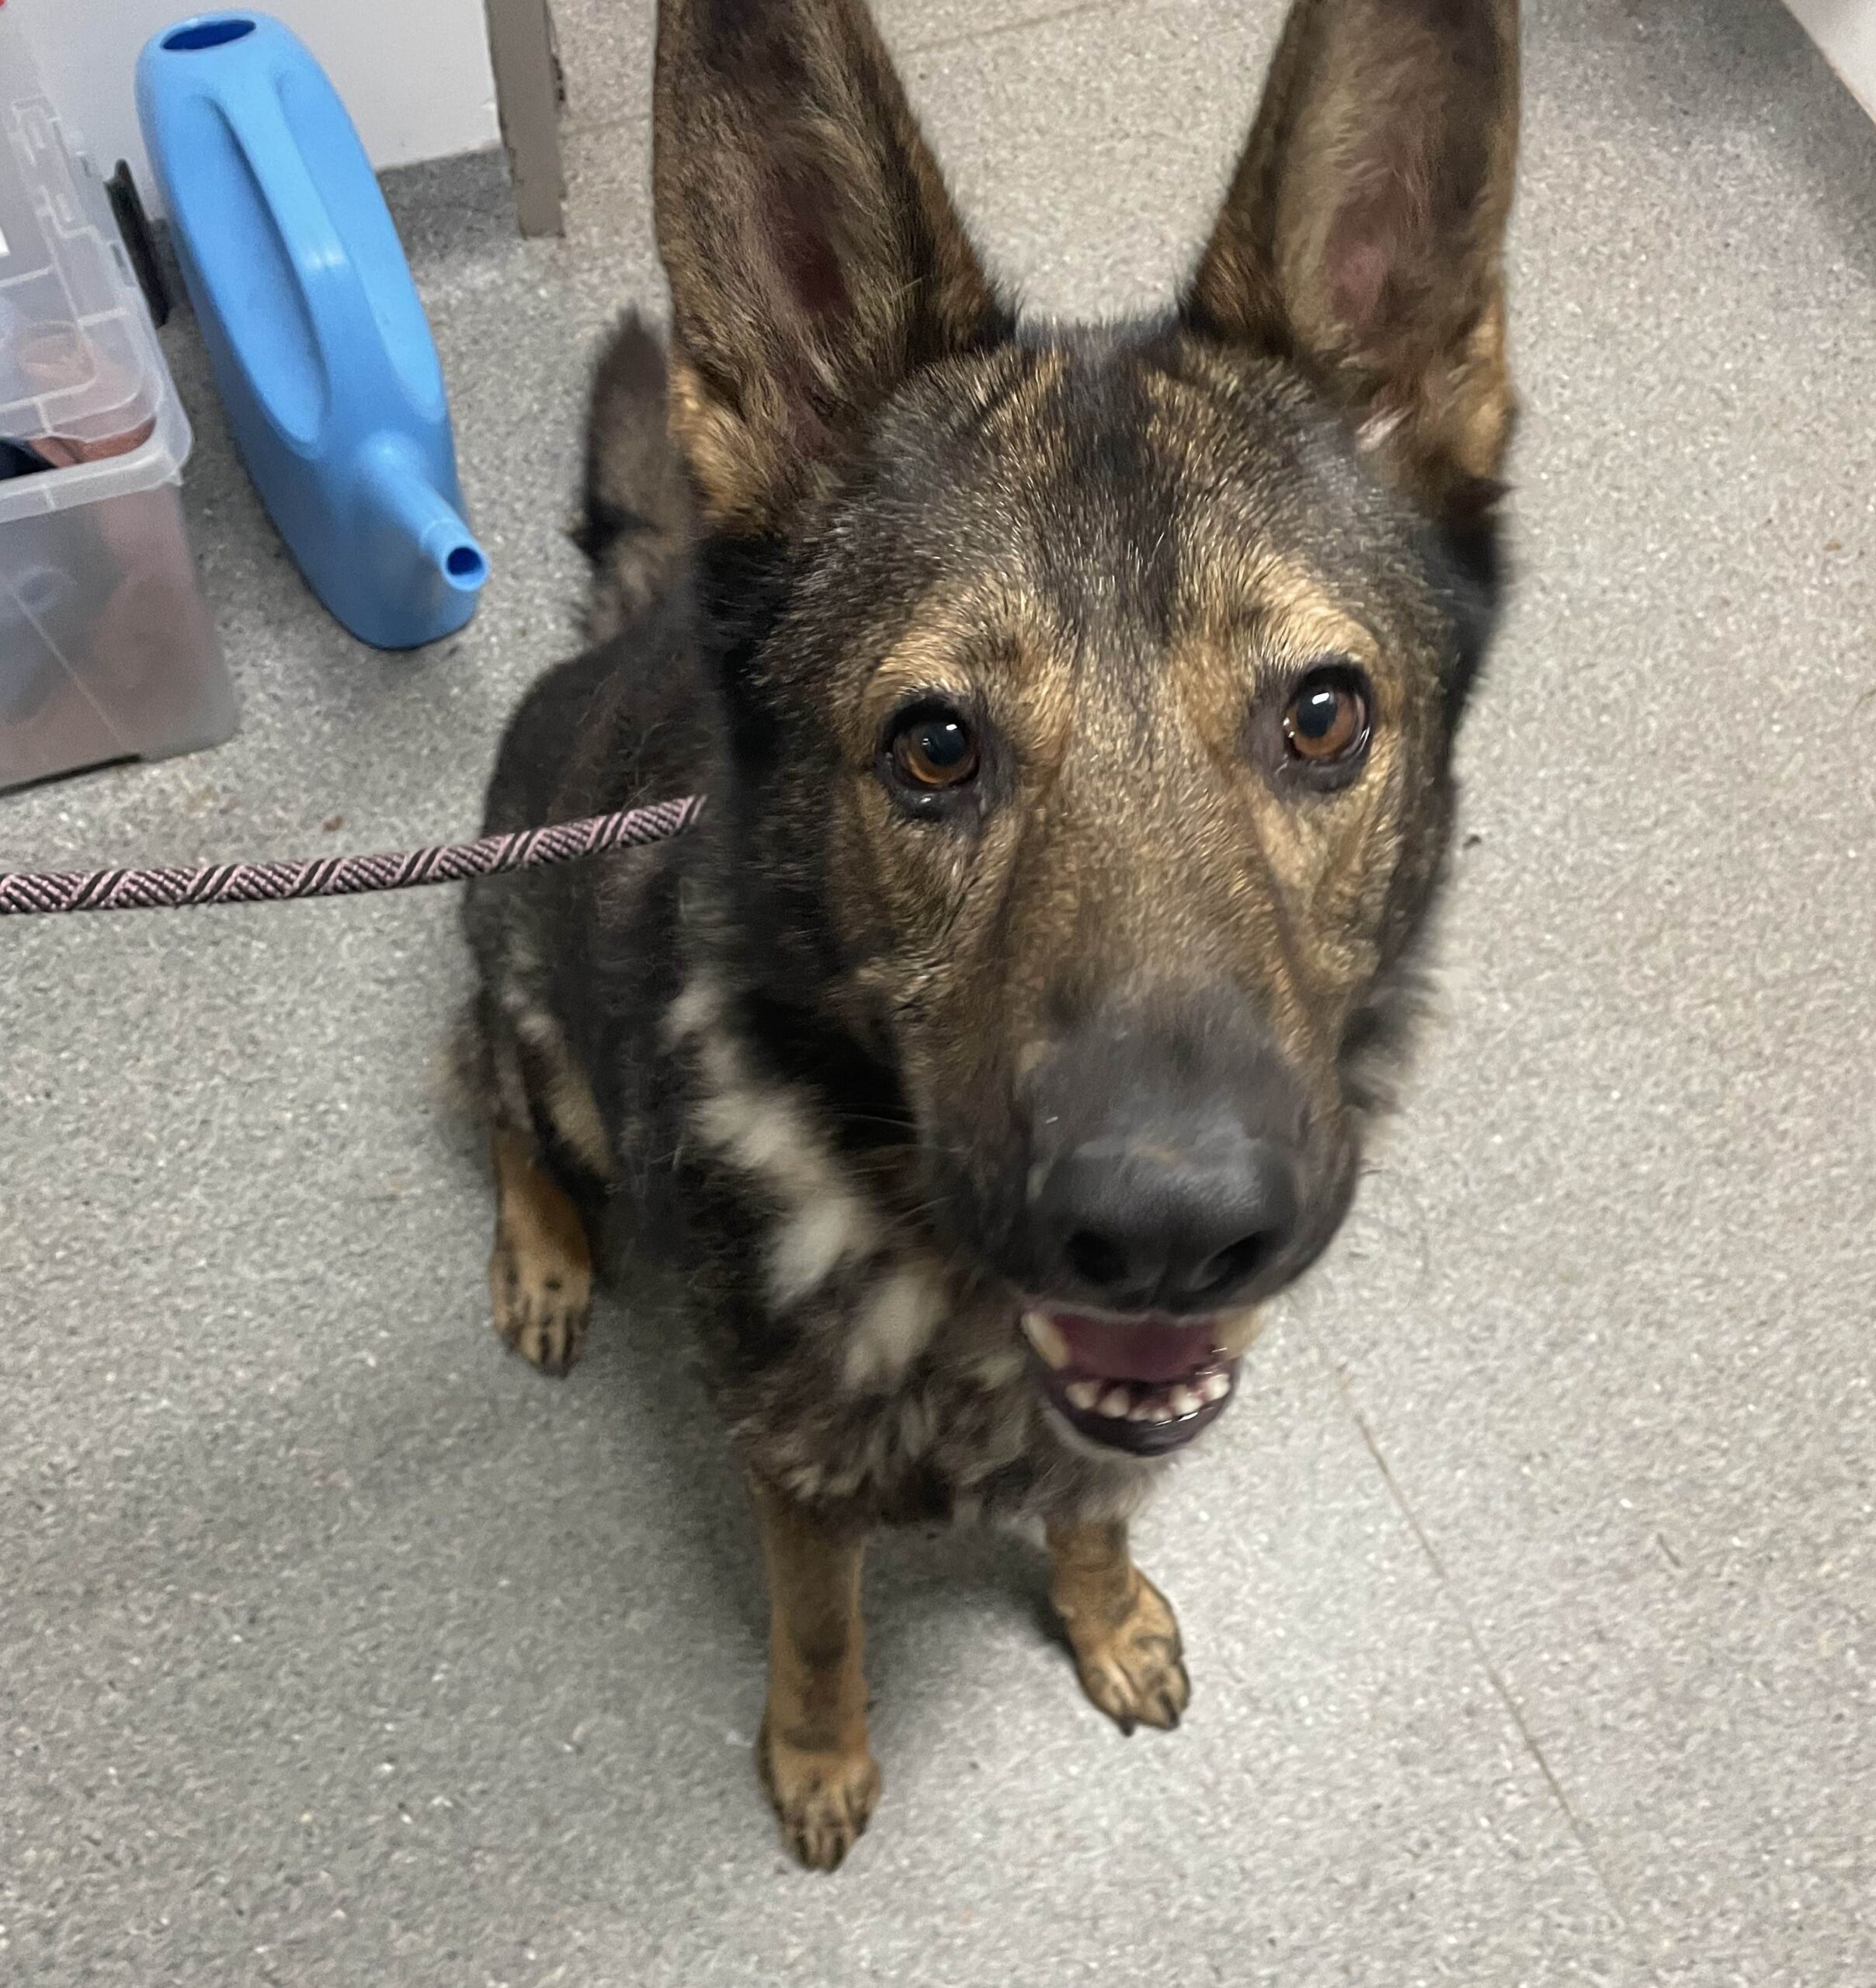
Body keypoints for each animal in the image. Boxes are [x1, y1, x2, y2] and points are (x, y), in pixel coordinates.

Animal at [461, 0, 1519, 1871]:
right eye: (936, 747)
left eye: (1322, 715)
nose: (1169, 1236)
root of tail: (633, 620)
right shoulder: (793, 1477)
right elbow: (822, 1626)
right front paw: (819, 1756)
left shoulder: (1119, 1433)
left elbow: (1093, 1518)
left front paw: (1100, 1617)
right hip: (521, 994)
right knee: (497, 1098)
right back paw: (544, 1249)